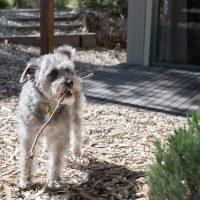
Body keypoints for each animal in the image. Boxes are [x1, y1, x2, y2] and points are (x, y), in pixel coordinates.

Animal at [18, 45, 85, 188]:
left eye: (68, 70)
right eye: (53, 73)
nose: (70, 82)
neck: (48, 103)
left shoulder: (59, 135)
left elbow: (56, 159)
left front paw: (54, 179)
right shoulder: (29, 134)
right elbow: (27, 157)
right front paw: (26, 179)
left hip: (75, 116)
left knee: (77, 134)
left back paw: (76, 153)